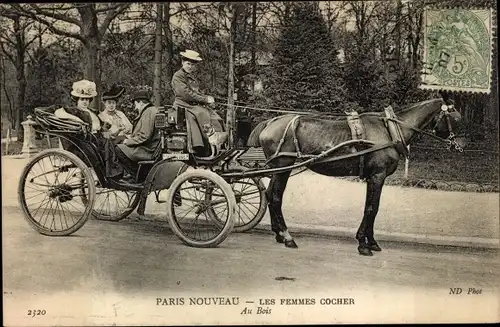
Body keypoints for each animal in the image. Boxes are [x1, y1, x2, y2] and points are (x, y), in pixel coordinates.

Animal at [248, 98, 466, 258]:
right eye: (455, 119)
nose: (462, 146)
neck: (390, 130)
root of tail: (271, 122)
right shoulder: (377, 176)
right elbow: (371, 208)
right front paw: (364, 244)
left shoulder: (375, 177)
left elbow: (373, 208)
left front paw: (372, 242)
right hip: (282, 167)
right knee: (276, 197)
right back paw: (287, 236)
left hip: (280, 168)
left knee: (270, 194)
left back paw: (278, 233)